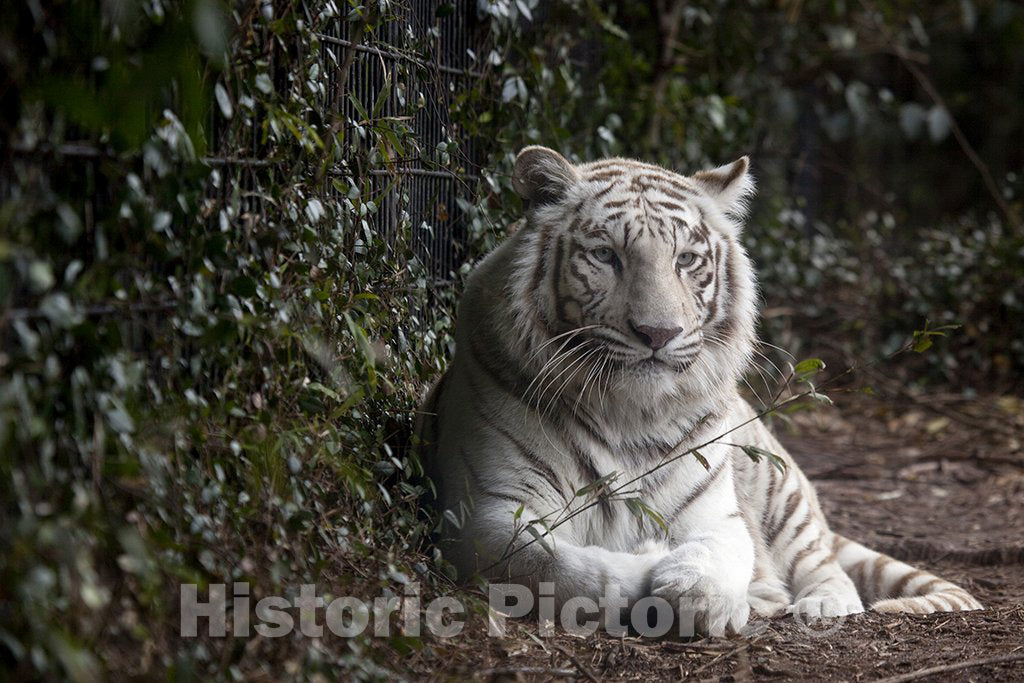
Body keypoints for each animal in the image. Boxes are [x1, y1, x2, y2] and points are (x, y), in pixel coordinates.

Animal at [417, 144, 983, 634]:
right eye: (605, 255)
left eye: (686, 259)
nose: (658, 333)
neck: (625, 413)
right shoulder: (488, 513)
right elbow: (559, 567)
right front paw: (649, 564)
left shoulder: (717, 514)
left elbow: (716, 555)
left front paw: (699, 596)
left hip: (779, 488)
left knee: (823, 561)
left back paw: (820, 604)